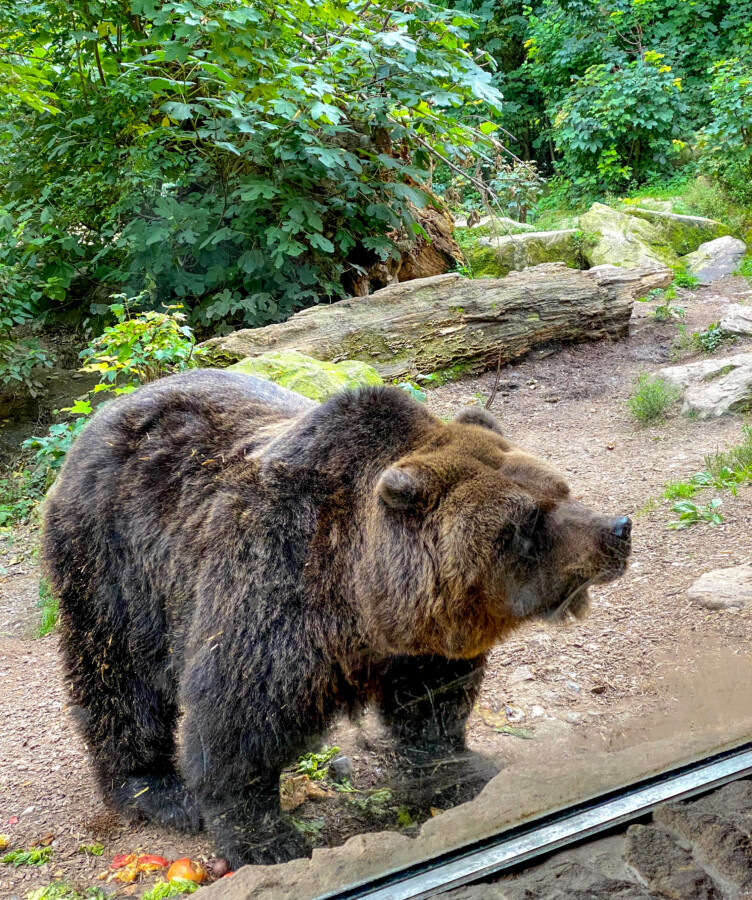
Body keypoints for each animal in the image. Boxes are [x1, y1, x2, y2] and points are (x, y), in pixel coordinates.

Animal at [42, 369, 631, 869]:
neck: (365, 602)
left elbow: (434, 707)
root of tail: (102, 414)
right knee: (119, 676)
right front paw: (266, 841)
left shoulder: (420, 645)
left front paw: (462, 771)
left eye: (561, 489)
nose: (617, 529)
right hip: (116, 559)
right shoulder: (275, 592)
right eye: (528, 521)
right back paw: (156, 789)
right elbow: (236, 721)